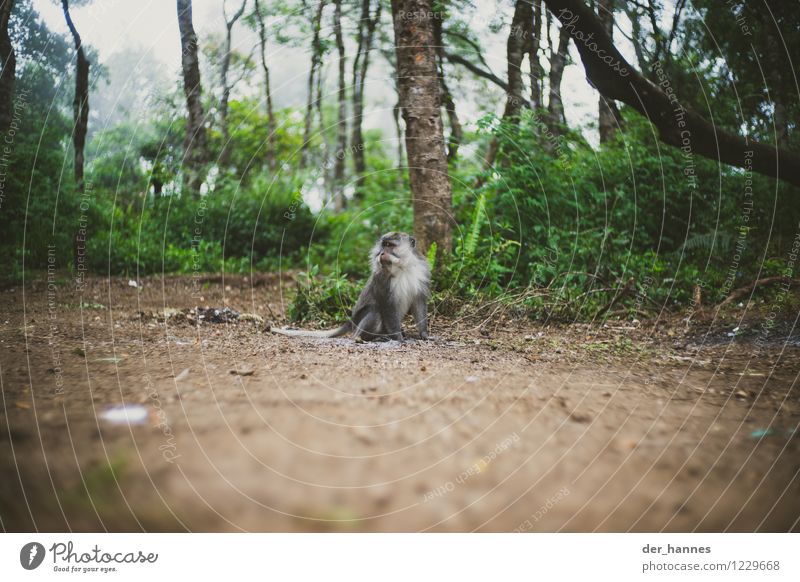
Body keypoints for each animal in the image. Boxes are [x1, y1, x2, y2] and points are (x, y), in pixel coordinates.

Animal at [270, 233, 432, 342]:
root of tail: (351, 321)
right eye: (383, 245)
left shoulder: (421, 270)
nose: (381, 253)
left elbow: (419, 302)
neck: (403, 267)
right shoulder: (382, 278)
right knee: (375, 311)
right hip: (358, 323)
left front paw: (424, 334)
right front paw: (398, 337)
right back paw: (364, 338)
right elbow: (386, 305)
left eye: (390, 245)